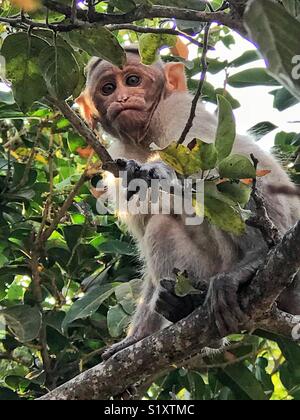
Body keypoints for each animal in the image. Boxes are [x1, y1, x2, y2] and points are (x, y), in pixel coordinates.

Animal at [77, 46, 300, 360]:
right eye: (108, 88)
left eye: (132, 80)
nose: (122, 98)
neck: (143, 138)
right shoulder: (116, 163)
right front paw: (136, 338)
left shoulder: (179, 112)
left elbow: (214, 159)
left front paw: (155, 169)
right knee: (160, 224)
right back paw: (185, 308)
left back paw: (253, 261)